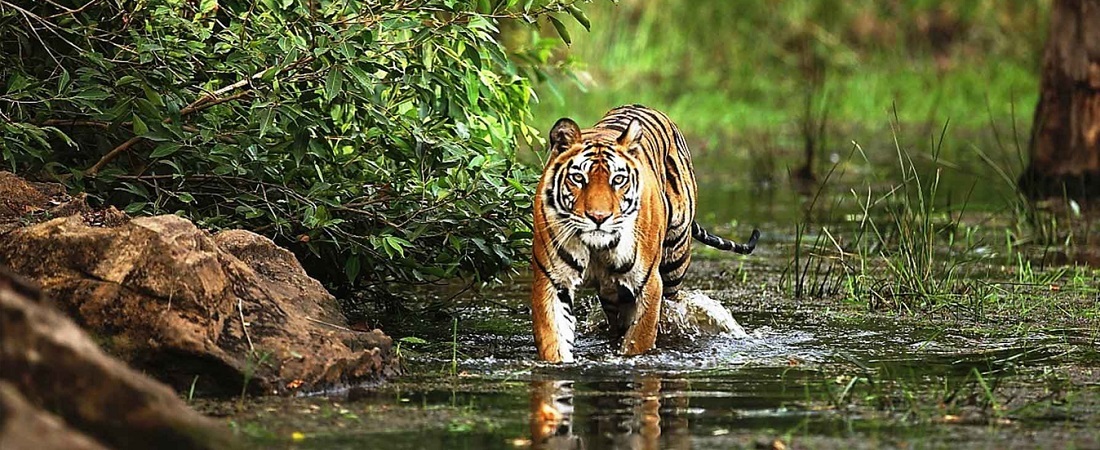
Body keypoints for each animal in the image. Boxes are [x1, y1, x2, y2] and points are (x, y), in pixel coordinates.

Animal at [531, 104, 760, 363]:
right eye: (578, 178)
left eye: (618, 179)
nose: (599, 217)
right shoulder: (552, 281)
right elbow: (553, 338)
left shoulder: (648, 284)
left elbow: (639, 338)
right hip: (611, 293)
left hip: (674, 263)